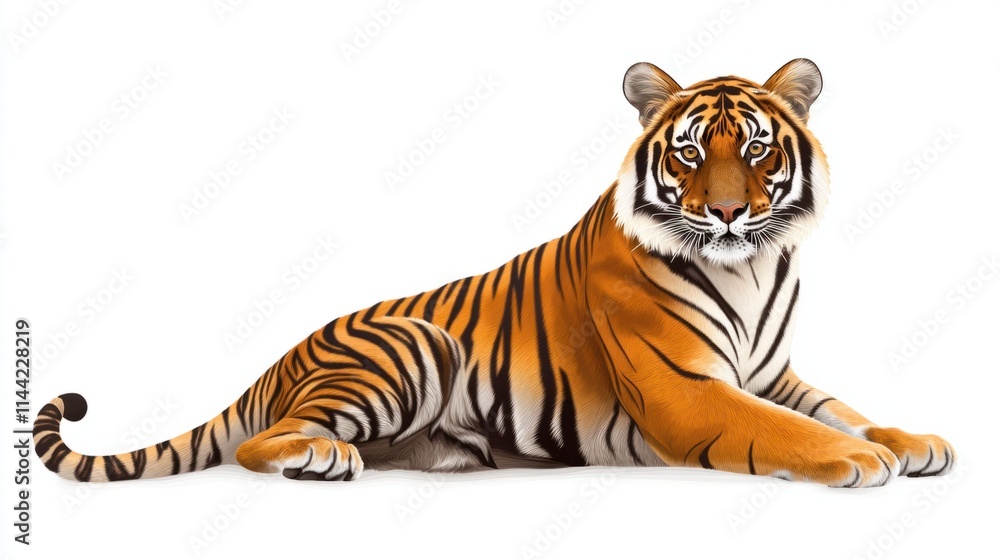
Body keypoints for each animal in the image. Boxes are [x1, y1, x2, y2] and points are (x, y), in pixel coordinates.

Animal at [35, 58, 956, 488]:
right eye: (692, 153)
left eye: (758, 151)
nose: (728, 213)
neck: (754, 267)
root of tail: (281, 360)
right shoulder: (687, 389)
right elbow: (797, 431)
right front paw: (862, 461)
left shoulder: (774, 373)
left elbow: (844, 410)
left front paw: (915, 441)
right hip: (415, 342)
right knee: (259, 445)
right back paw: (323, 458)